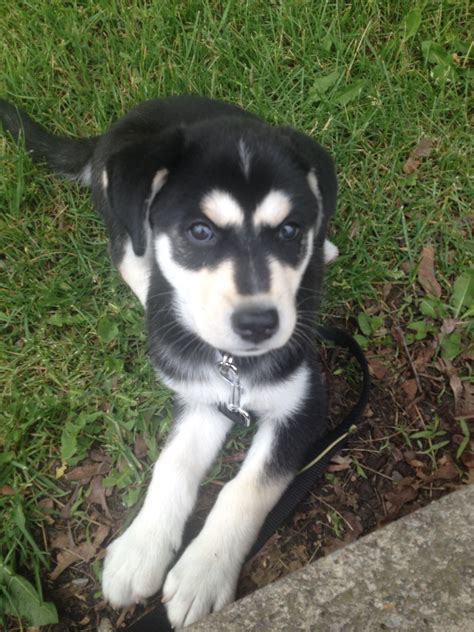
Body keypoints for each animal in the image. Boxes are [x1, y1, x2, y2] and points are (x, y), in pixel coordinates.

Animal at [1, 95, 338, 628]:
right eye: (200, 232)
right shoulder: (201, 399)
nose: (259, 324)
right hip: (121, 219)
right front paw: (141, 550)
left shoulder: (303, 405)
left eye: (289, 231)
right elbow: (172, 464)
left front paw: (203, 573)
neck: (230, 365)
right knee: (131, 256)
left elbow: (246, 488)